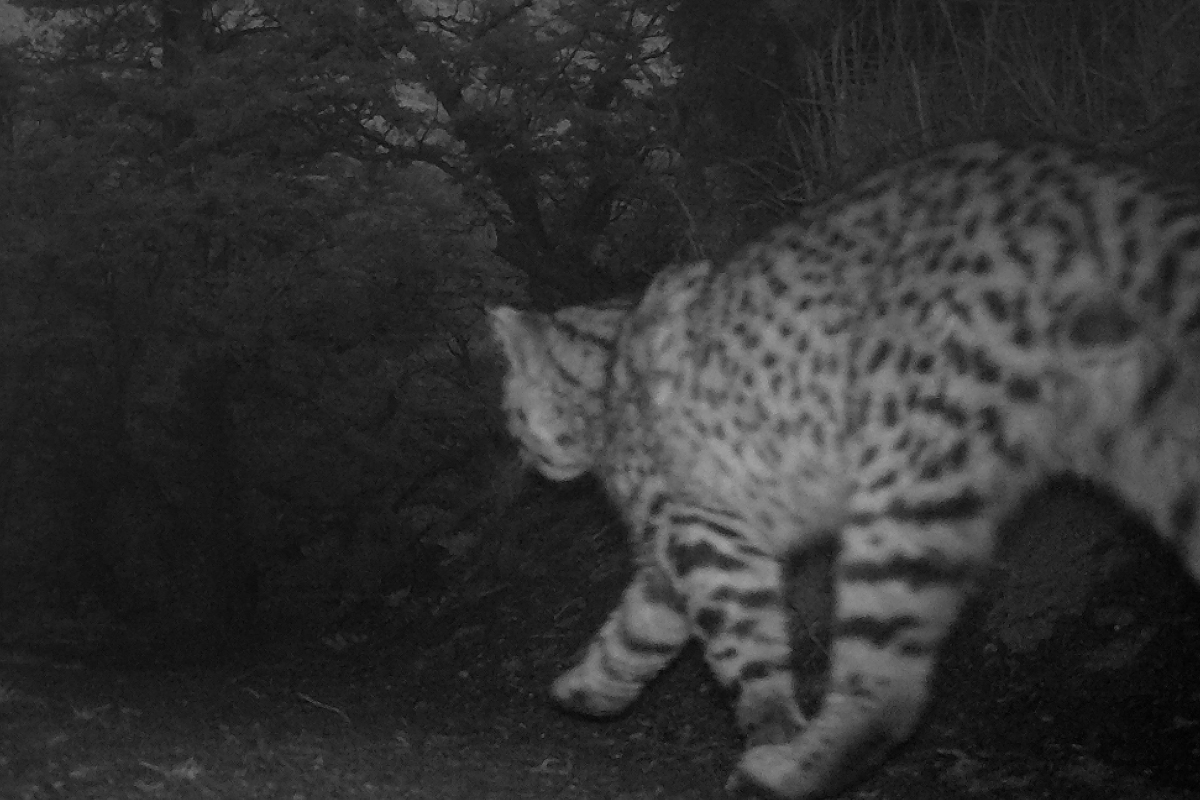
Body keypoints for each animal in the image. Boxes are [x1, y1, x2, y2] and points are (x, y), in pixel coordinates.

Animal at [487, 140, 1200, 796]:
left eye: (511, 413)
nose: (519, 454)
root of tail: (1082, 180)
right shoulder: (676, 550)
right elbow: (635, 630)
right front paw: (584, 688)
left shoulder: (709, 538)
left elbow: (742, 651)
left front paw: (770, 730)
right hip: (1157, 438)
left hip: (904, 487)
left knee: (887, 690)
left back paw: (784, 772)